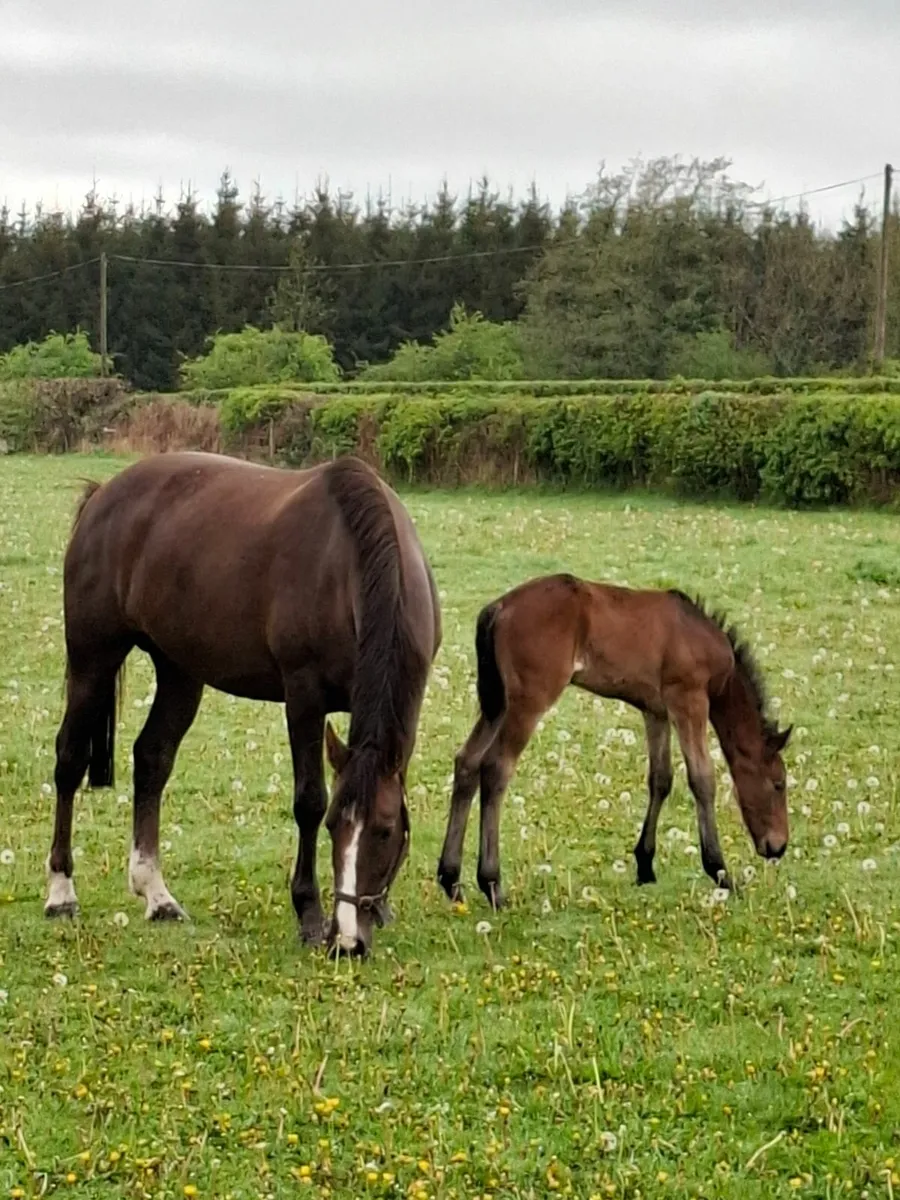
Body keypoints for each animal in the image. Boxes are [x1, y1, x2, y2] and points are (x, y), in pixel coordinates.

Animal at [45, 451, 441, 957]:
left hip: (179, 670)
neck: (350, 563)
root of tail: (102, 495)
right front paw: (309, 914)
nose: (348, 942)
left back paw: (157, 895)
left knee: (152, 759)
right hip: (93, 658)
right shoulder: (304, 696)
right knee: (70, 759)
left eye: (385, 831)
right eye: (334, 826)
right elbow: (309, 799)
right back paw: (61, 892)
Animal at [437, 573, 791, 908]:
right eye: (778, 784)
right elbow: (703, 779)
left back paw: (451, 880)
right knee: (496, 768)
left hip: (496, 705)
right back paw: (492, 885)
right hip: (528, 702)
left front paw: (645, 865)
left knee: (467, 762)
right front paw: (720, 872)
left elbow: (661, 779)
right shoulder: (689, 701)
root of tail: (499, 608)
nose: (778, 846)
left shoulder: (655, 711)